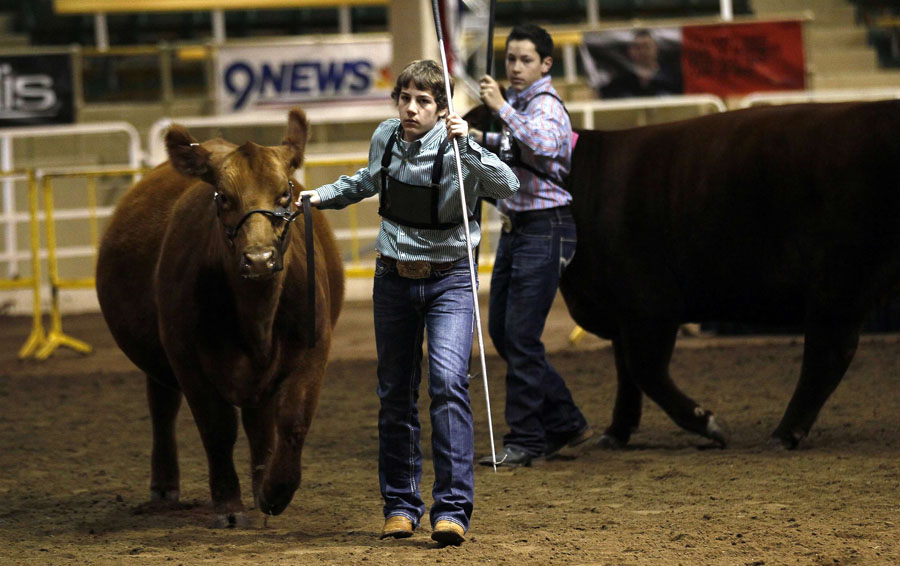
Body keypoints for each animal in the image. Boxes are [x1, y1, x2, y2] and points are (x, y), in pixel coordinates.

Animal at [96, 107, 344, 528]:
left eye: (285, 193)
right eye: (224, 197)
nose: (259, 259)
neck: (257, 321)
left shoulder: (314, 345)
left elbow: (292, 420)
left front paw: (276, 491)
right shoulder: (186, 357)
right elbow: (217, 429)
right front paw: (229, 505)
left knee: (259, 424)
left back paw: (261, 484)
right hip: (159, 361)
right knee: (162, 410)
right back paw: (164, 487)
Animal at [564, 100, 900, 450]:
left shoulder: (649, 303)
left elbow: (643, 370)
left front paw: (710, 424)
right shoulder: (617, 309)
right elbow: (626, 375)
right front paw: (616, 432)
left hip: (840, 275)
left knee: (828, 351)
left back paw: (783, 433)